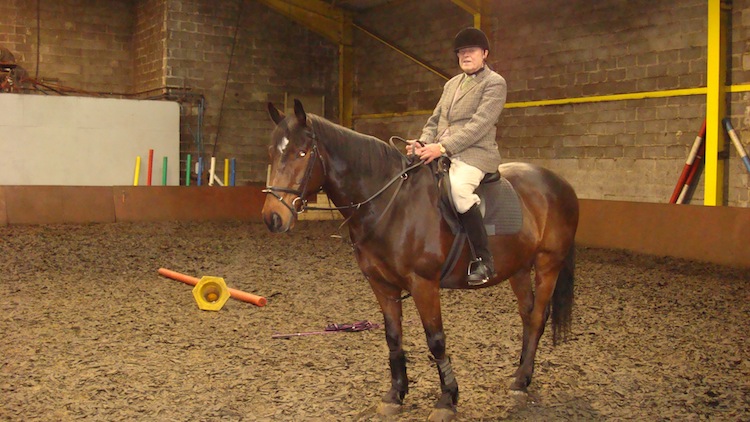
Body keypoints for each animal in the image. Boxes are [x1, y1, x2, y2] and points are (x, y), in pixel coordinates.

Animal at [262, 99, 580, 422]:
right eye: (272, 153)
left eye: (302, 153)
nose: (272, 218)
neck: (391, 203)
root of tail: (560, 184)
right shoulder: (382, 285)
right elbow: (393, 337)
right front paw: (395, 395)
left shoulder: (423, 284)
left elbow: (435, 340)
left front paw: (447, 399)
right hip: (518, 268)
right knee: (527, 315)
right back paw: (520, 376)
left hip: (548, 264)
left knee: (538, 317)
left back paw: (521, 380)